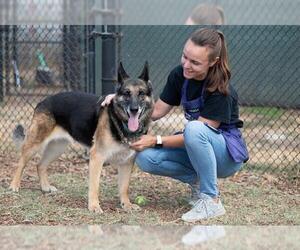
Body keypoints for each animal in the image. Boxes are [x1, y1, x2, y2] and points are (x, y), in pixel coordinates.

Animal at [8, 61, 155, 212]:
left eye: (141, 93)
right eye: (127, 93)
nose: (134, 109)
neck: (119, 121)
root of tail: (43, 101)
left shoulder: (126, 162)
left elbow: (124, 188)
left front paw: (126, 205)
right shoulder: (97, 157)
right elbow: (95, 186)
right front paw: (94, 206)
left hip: (57, 149)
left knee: (40, 165)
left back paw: (45, 187)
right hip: (35, 144)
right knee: (21, 163)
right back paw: (14, 186)